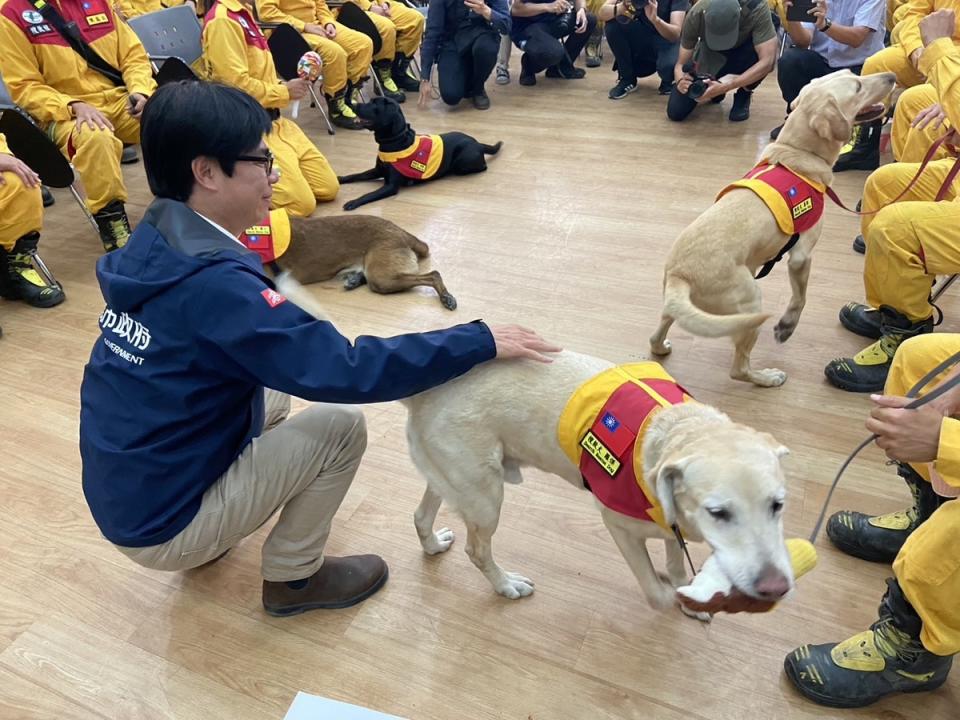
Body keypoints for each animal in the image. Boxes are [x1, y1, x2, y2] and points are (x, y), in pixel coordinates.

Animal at [338, 95, 502, 210]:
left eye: (373, 104)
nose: (351, 103)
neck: (395, 140)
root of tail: (478, 143)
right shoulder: (378, 170)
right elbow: (356, 175)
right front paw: (341, 178)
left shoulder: (390, 186)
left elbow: (369, 194)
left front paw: (353, 202)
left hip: (462, 162)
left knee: (481, 167)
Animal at [648, 71, 896, 388]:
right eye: (857, 86)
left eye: (853, 76)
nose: (892, 76)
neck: (796, 153)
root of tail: (680, 275)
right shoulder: (801, 256)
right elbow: (800, 299)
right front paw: (786, 327)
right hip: (751, 300)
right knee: (739, 369)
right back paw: (766, 378)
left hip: (681, 306)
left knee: (659, 331)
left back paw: (661, 347)